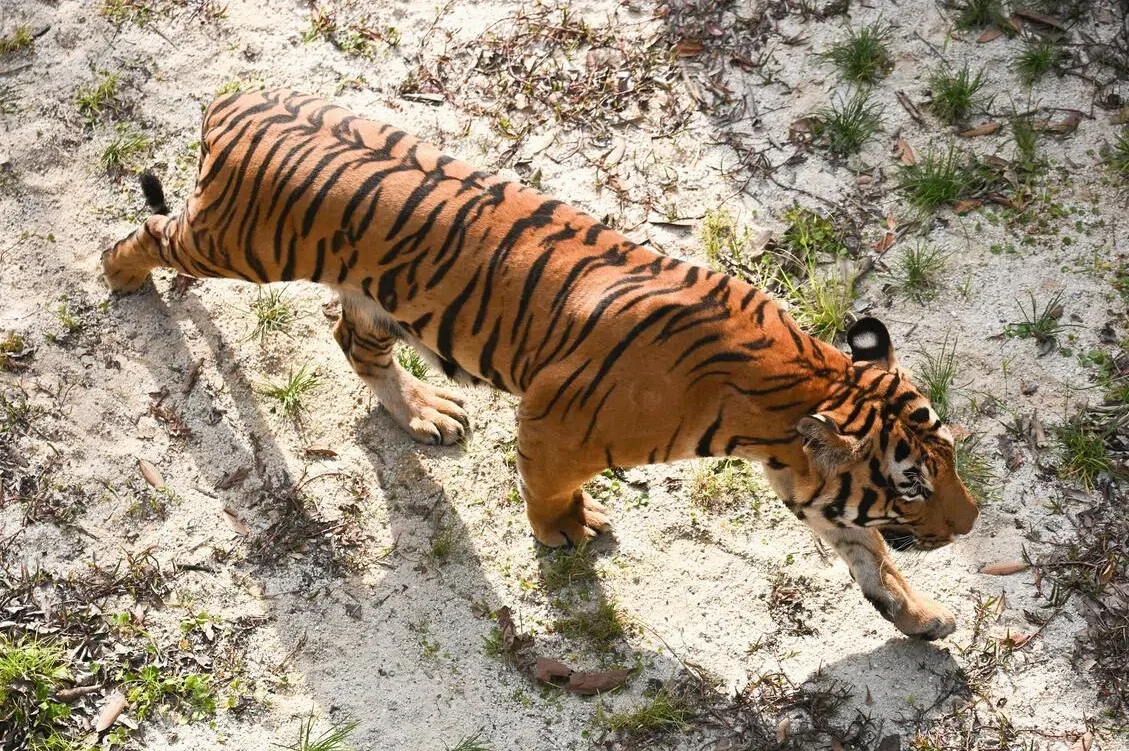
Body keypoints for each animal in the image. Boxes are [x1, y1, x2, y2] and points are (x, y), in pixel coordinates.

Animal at [102, 89, 978, 641]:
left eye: (950, 460)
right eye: (910, 485)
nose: (971, 526)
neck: (801, 380)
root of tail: (241, 100)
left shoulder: (809, 487)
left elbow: (870, 556)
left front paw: (920, 616)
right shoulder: (551, 419)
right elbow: (549, 489)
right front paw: (567, 531)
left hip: (376, 296)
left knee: (354, 344)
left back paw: (424, 413)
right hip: (237, 243)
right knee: (150, 233)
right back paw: (119, 274)